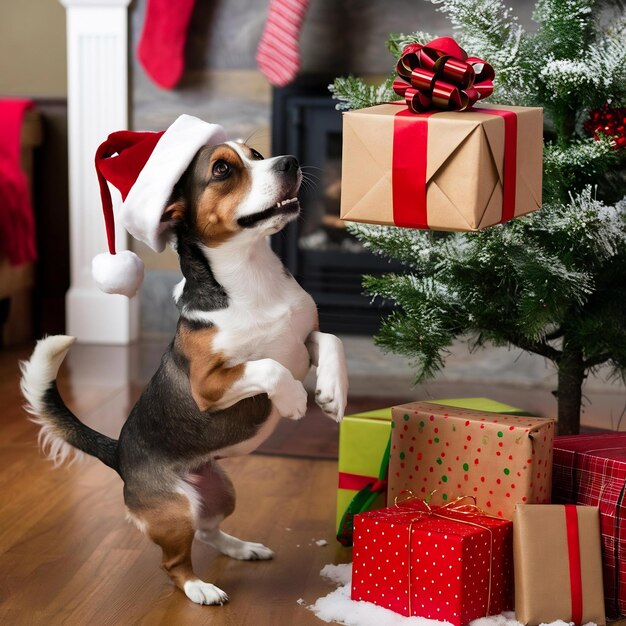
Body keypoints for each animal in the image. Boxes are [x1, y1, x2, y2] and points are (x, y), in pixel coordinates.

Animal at [18, 113, 346, 604]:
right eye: (223, 169)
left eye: (256, 155)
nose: (289, 161)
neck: (252, 275)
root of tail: (119, 454)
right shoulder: (209, 384)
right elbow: (268, 368)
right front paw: (293, 402)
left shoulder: (301, 340)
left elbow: (332, 341)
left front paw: (333, 394)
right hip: (175, 510)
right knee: (173, 563)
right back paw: (201, 589)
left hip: (221, 489)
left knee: (209, 531)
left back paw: (243, 548)